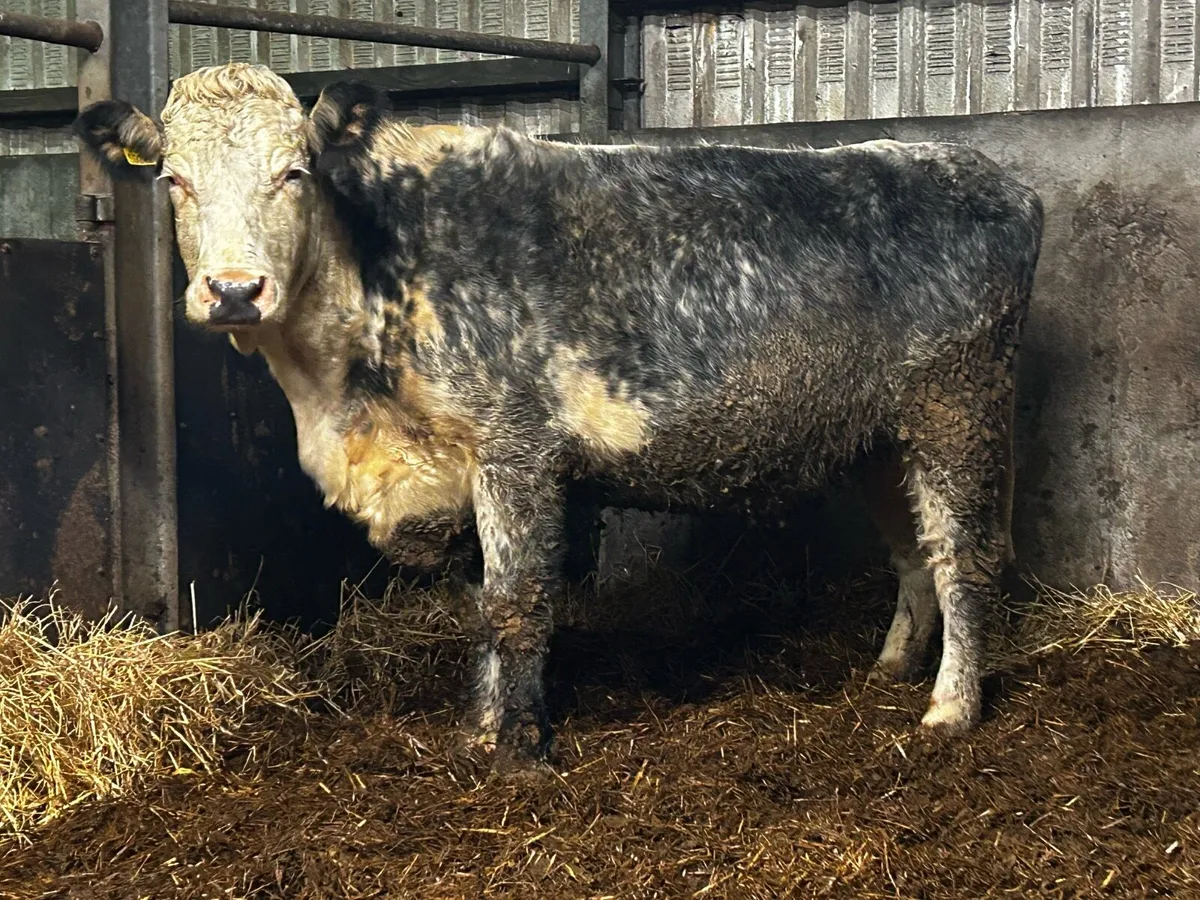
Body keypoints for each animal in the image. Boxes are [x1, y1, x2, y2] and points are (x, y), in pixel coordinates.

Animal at [74, 62, 1043, 771]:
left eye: (294, 173)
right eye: (173, 180)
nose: (234, 289)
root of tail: (984, 171)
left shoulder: (515, 447)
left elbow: (518, 601)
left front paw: (519, 749)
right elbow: (482, 603)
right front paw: (482, 724)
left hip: (960, 405)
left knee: (965, 556)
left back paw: (950, 708)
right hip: (886, 434)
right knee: (914, 553)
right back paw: (891, 669)